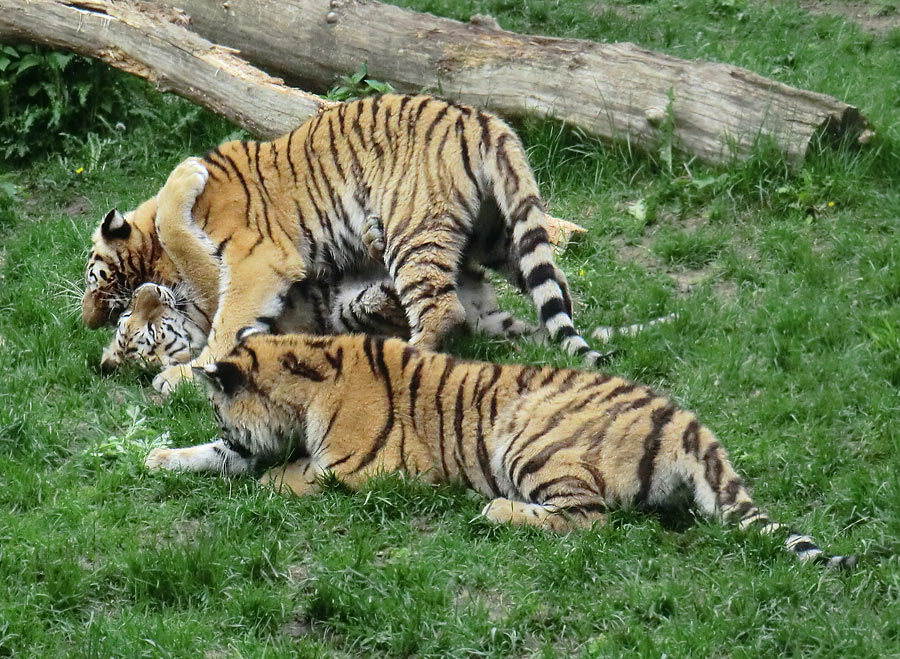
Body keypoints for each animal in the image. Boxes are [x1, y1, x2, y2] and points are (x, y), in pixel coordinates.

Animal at [146, 332, 856, 568]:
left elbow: (286, 476)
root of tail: (680, 416)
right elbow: (212, 458)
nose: (228, 428)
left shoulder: (363, 472)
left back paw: (494, 512)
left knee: (589, 521)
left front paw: (261, 485)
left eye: (219, 406)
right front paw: (159, 457)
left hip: (529, 438)